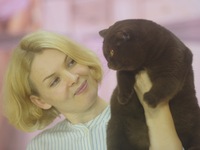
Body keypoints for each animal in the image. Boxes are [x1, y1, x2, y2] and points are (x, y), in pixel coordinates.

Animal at [99, 18, 200, 150]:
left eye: (111, 52)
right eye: (105, 54)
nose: (109, 64)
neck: (146, 61)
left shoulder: (173, 67)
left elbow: (165, 84)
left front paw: (150, 98)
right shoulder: (126, 70)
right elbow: (122, 78)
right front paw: (122, 97)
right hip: (114, 126)